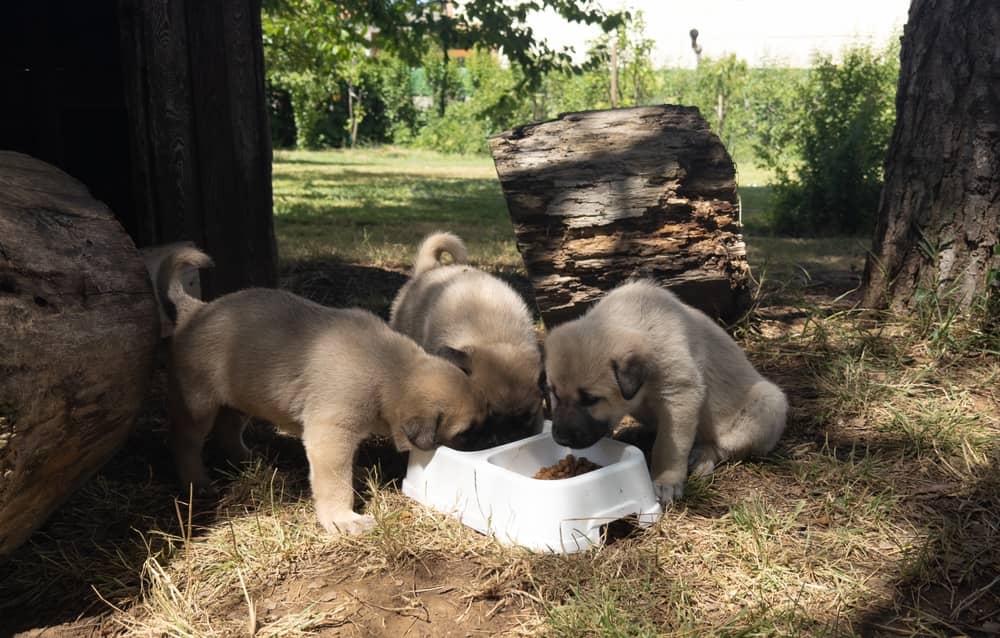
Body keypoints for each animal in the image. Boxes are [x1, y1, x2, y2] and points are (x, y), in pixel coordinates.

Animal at [159, 245, 484, 536]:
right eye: (464, 433)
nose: (485, 440)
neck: (392, 371)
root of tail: (195, 310)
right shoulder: (331, 437)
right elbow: (336, 484)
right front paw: (343, 520)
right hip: (198, 406)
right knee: (186, 443)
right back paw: (197, 483)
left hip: (241, 397)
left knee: (228, 430)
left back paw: (249, 460)